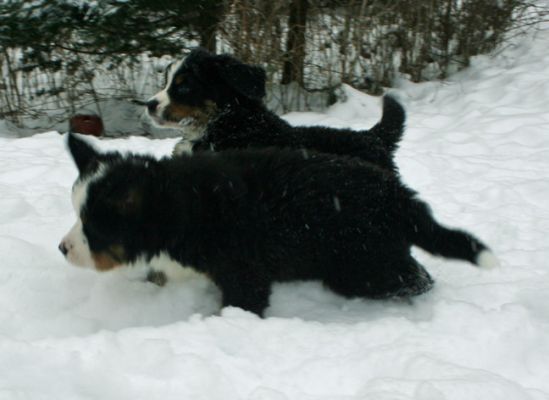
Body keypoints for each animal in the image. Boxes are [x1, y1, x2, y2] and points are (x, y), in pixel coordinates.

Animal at [57, 134, 494, 316]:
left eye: (93, 226)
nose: (63, 248)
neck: (183, 206)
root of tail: (398, 195)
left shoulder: (243, 271)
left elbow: (241, 304)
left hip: (364, 265)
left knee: (417, 279)